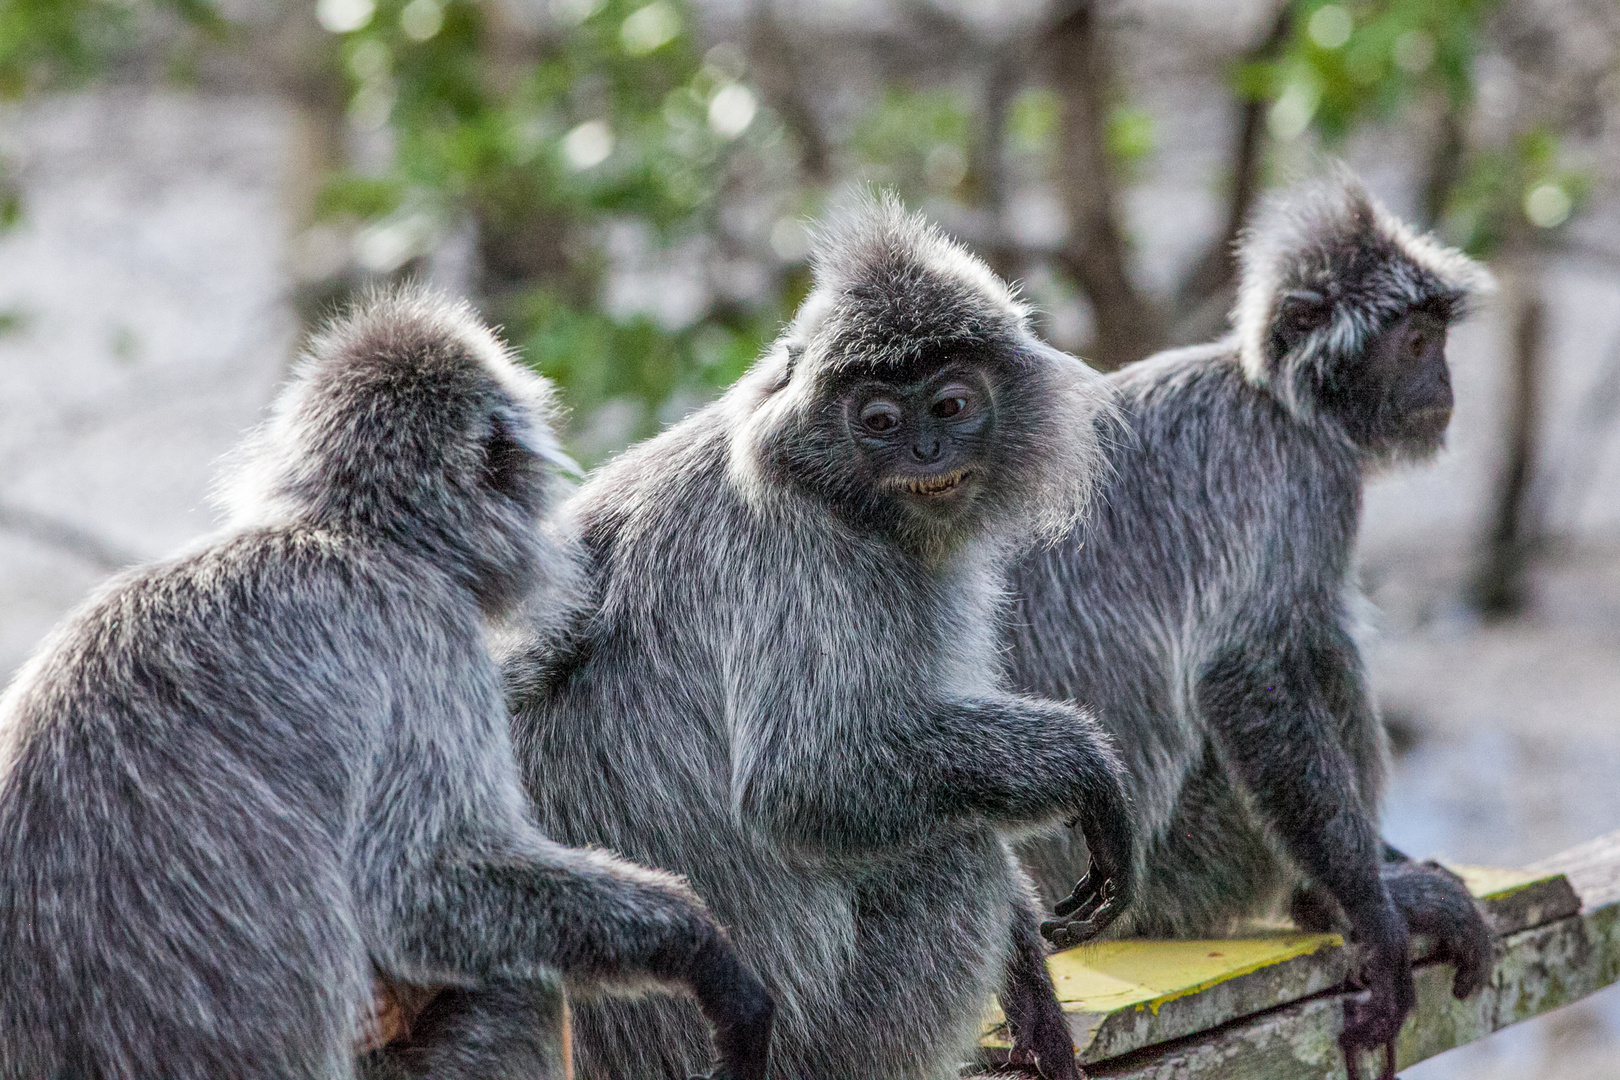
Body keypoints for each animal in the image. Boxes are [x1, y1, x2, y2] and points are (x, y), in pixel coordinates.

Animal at [1010, 173, 1490, 1075]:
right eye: (1416, 344)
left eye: (1439, 340)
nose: (1446, 387)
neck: (1274, 399)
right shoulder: (1301, 477)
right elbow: (1243, 675)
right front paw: (1376, 918)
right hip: (1184, 871)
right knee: (1318, 647)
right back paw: (1328, 900)